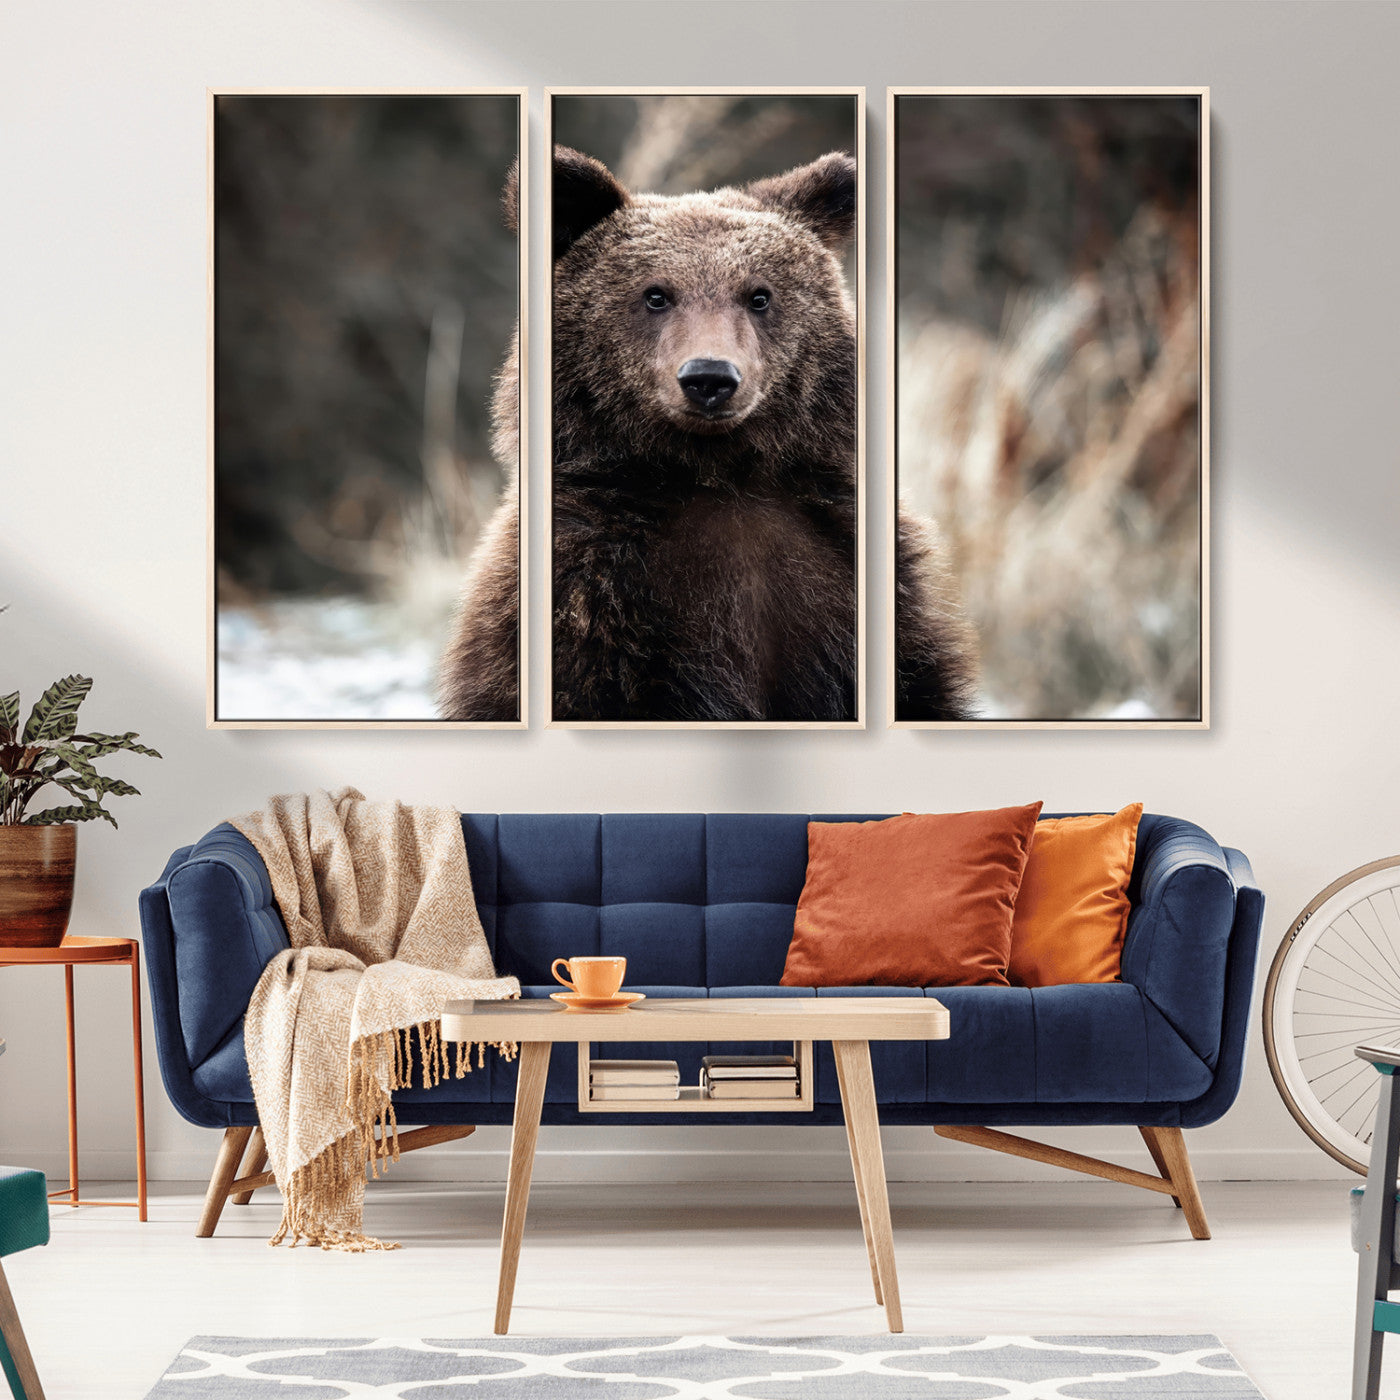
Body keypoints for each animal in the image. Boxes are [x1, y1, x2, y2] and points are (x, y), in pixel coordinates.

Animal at [438, 147, 977, 723]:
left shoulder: (847, 570)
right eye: (656, 295)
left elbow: (919, 684)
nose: (709, 377)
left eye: (759, 295)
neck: (717, 472)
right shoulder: (592, 593)